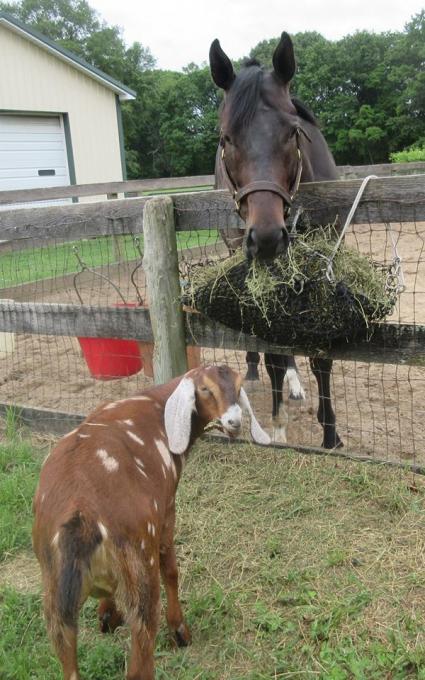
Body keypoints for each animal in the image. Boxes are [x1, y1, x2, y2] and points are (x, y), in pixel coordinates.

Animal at [33, 364, 268, 676]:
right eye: (205, 389)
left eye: (239, 387)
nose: (234, 421)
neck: (156, 407)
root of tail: (81, 519)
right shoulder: (166, 509)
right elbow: (171, 569)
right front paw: (179, 631)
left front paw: (108, 614)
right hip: (141, 567)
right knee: (140, 662)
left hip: (55, 592)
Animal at [209, 31, 342, 448]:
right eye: (227, 137)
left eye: (293, 132)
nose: (267, 238)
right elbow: (274, 354)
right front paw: (278, 424)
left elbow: (321, 355)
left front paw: (330, 433)